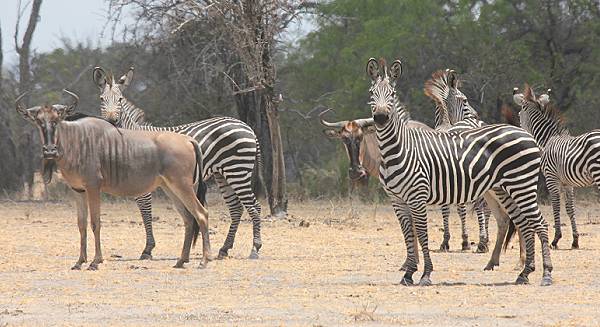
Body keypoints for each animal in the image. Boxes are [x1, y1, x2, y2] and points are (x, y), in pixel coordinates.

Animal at [92, 66, 262, 262]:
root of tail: (247, 127)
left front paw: (148, 249)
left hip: (237, 170)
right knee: (236, 208)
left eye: (119, 99)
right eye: (101, 99)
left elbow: (146, 212)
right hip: (224, 174)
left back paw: (255, 248)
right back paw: (224, 249)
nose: (111, 121)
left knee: (254, 207)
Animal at [424, 70, 490, 254]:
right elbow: (452, 209)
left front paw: (457, 240)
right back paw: (483, 242)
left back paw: (482, 241)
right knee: (481, 204)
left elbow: (452, 209)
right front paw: (454, 240)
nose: (476, 115)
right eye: (465, 100)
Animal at [510, 86, 600, 250]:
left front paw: (556, 239)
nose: (520, 130)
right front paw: (575, 240)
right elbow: (570, 208)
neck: (548, 140)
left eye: (519, 115)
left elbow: (556, 206)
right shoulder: (568, 183)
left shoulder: (551, 178)